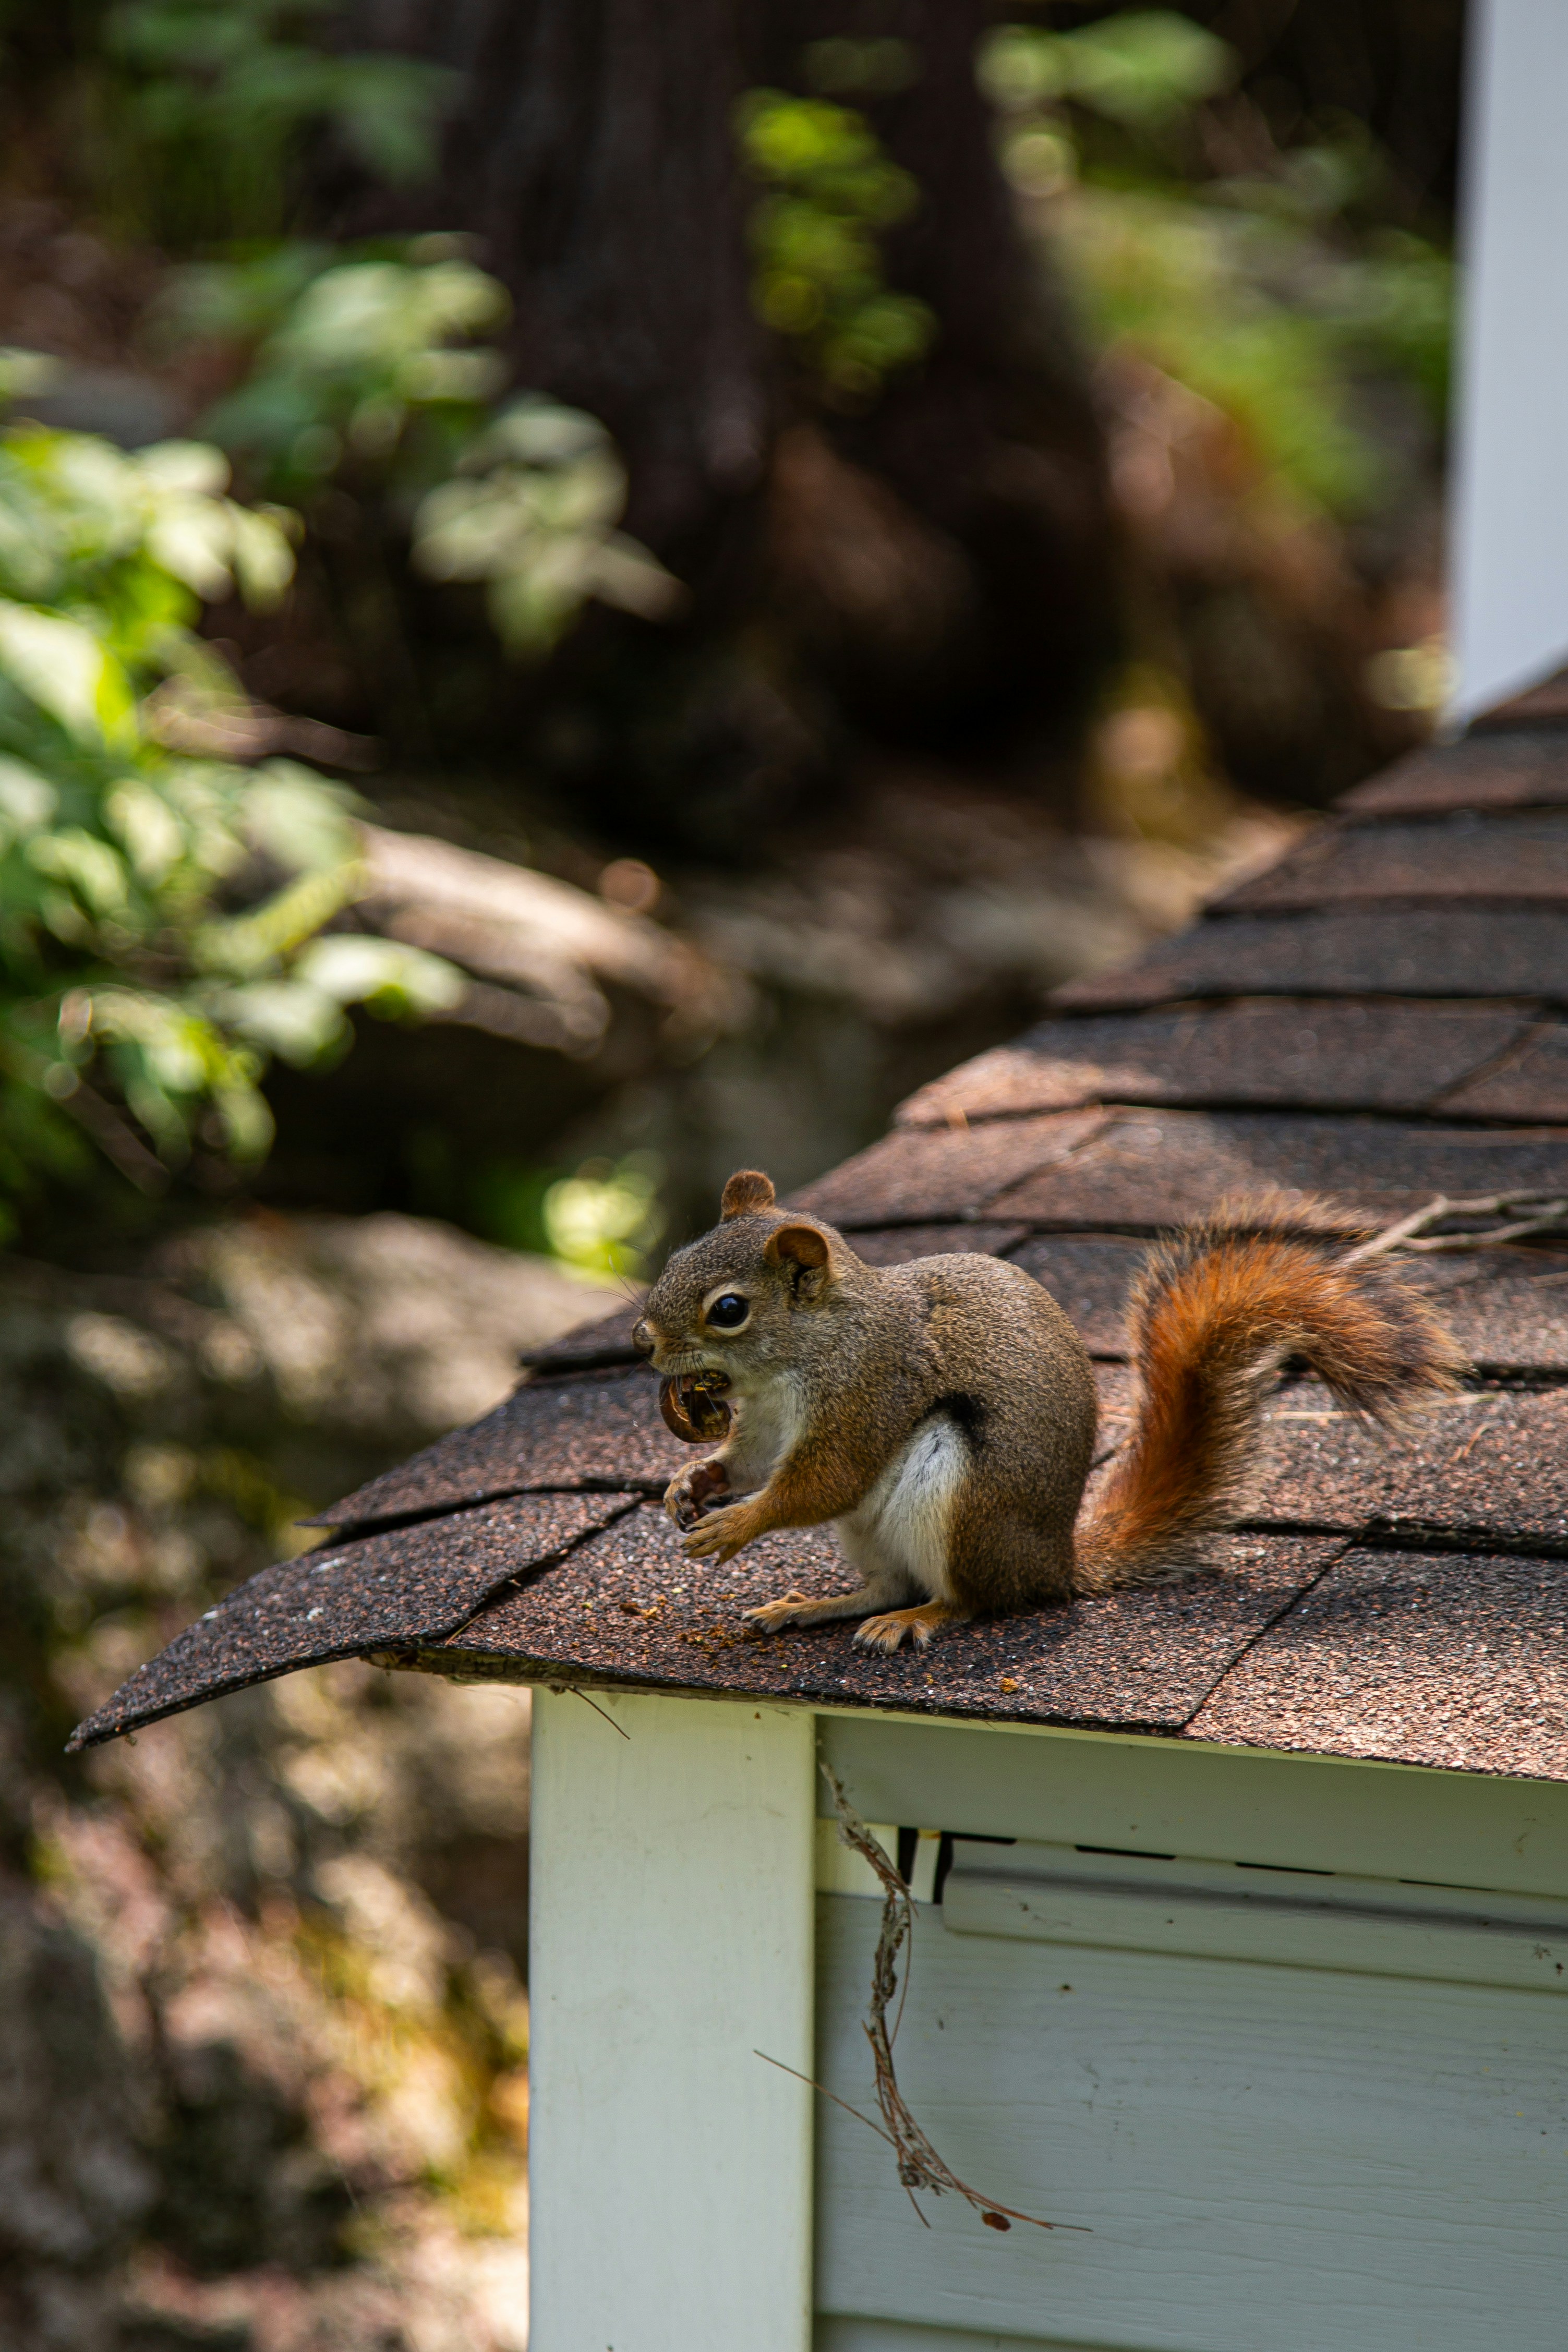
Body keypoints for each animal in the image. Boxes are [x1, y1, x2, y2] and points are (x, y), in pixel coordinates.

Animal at [632, 1169, 1466, 1654]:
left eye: (729, 1309)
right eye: (672, 1260)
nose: (645, 1341)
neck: (787, 1366)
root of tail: (1057, 1564)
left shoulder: (870, 1389)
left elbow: (820, 1482)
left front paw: (734, 1525)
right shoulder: (765, 1424)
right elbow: (749, 1464)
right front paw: (691, 1484)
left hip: (960, 1497)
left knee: (972, 1599)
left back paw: (921, 1619)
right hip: (873, 1535)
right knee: (889, 1582)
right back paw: (816, 1605)